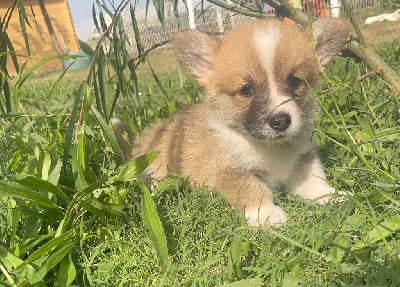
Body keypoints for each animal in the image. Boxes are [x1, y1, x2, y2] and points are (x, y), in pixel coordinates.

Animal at [123, 17, 348, 227]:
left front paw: (329, 196)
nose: (280, 121)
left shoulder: (302, 155)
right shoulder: (228, 170)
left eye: (295, 81)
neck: (268, 147)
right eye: (246, 90)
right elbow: (251, 187)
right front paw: (267, 215)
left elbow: (313, 177)